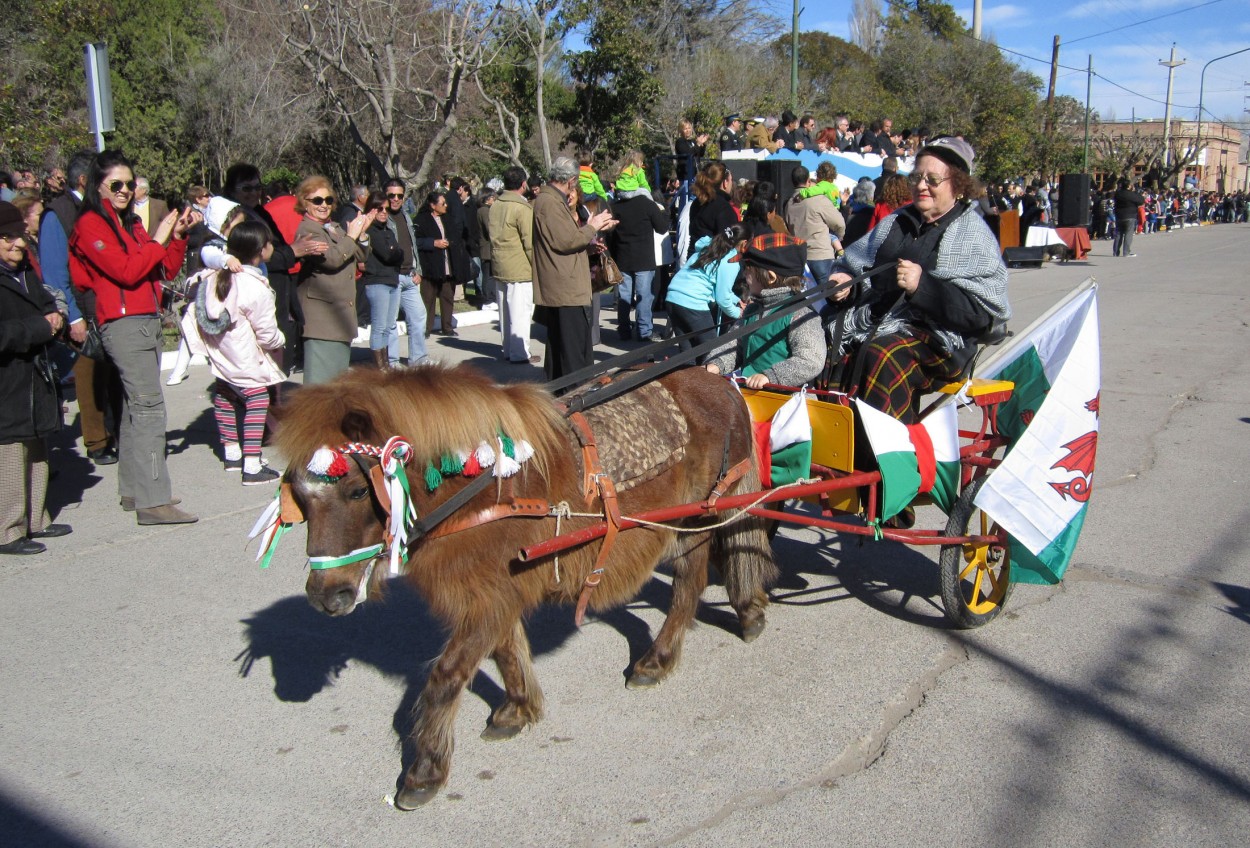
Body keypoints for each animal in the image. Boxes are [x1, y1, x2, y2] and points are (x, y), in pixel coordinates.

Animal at [276, 362, 770, 810]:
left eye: (358, 490)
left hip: (697, 517)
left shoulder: (486, 598)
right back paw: (745, 609)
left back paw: (659, 658)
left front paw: (425, 771)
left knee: (691, 580)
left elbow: (445, 676)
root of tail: (721, 382)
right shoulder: (496, 588)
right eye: (297, 496)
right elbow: (506, 651)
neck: (481, 484)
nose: (327, 595)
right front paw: (518, 708)